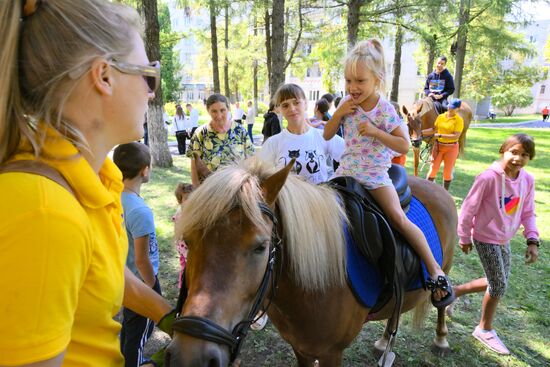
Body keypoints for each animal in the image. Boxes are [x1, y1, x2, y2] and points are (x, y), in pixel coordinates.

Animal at [166, 159, 460, 367]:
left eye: (261, 247)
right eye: (187, 241)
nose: (191, 357)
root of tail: (439, 189)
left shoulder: (332, 353)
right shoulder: (301, 347)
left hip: (444, 267)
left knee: (443, 302)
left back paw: (442, 338)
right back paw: (385, 340)